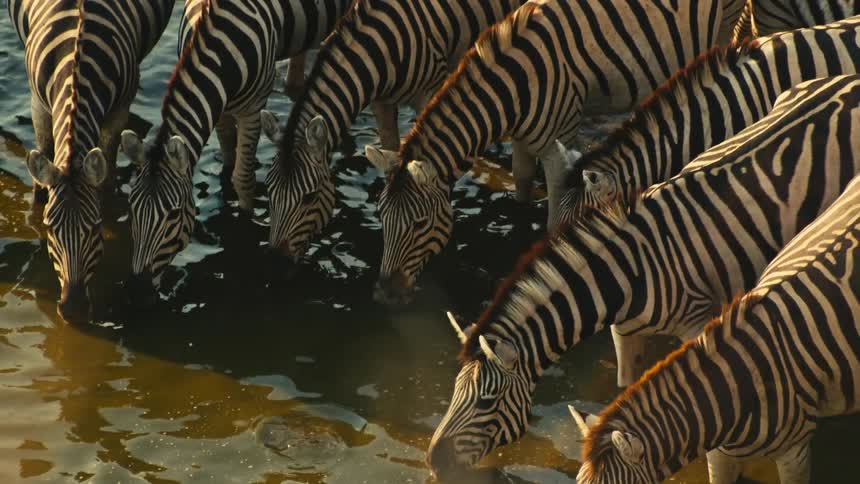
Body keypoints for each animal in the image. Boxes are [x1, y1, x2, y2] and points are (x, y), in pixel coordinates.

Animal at [7, 0, 174, 323]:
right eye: (50, 229)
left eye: (95, 228)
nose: (72, 310)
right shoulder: (38, 105)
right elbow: (42, 169)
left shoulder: (118, 111)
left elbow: (106, 178)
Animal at [119, 0, 349, 305]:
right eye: (132, 210)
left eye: (173, 215)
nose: (136, 293)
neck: (220, 49)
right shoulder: (220, 108)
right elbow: (228, 161)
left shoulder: (253, 108)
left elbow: (243, 178)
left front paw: (242, 229)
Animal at [366, 0, 752, 305]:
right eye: (381, 215)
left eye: (419, 224)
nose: (384, 294)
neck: (511, 87)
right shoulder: (524, 136)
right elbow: (521, 183)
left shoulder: (557, 142)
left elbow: (553, 219)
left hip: (726, 18)